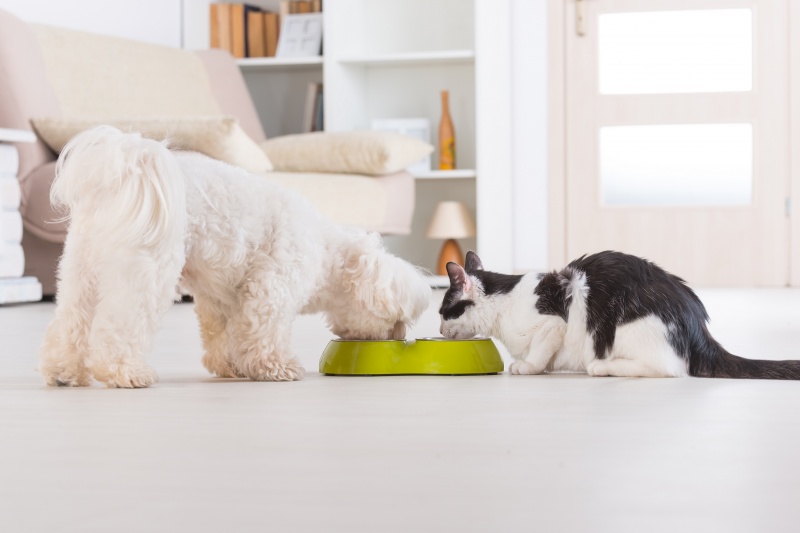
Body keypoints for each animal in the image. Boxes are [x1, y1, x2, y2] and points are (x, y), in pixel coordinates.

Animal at [37, 127, 432, 388]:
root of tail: (126, 172)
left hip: (80, 269)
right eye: (397, 319)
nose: (398, 337)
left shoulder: (222, 297)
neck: (328, 254)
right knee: (121, 326)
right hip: (146, 270)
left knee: (71, 322)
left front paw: (230, 365)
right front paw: (276, 368)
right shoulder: (273, 288)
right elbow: (265, 332)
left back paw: (63, 372)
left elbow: (224, 332)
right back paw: (126, 372)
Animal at [440, 250, 800, 378]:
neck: (504, 301)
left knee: (668, 369)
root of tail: (698, 325)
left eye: (444, 312)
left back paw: (602, 367)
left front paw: (527, 366)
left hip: (629, 326)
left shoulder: (553, 324)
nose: (440, 331)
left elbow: (540, 351)